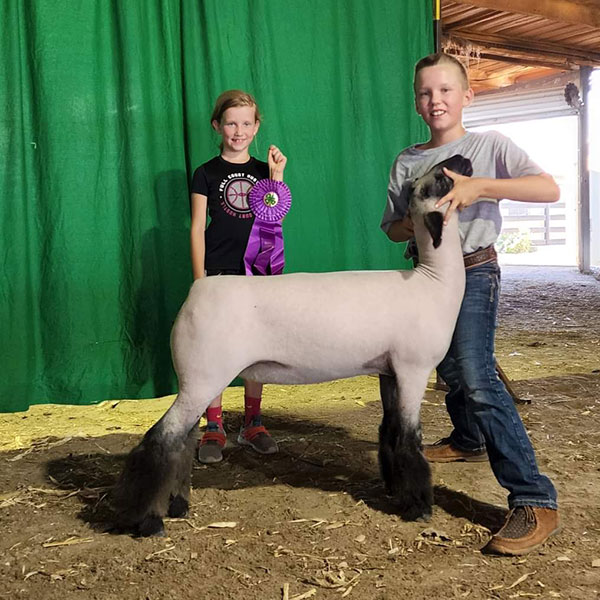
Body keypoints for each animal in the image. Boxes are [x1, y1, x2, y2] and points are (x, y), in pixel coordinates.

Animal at [110, 154, 472, 536]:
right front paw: (418, 506)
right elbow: (407, 438)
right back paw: (146, 520)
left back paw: (178, 506)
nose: (463, 158)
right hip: (204, 376)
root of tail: (197, 292)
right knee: (161, 440)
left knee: (182, 441)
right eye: (438, 179)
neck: (433, 282)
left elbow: (388, 432)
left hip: (198, 379)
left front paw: (393, 490)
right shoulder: (413, 368)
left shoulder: (388, 371)